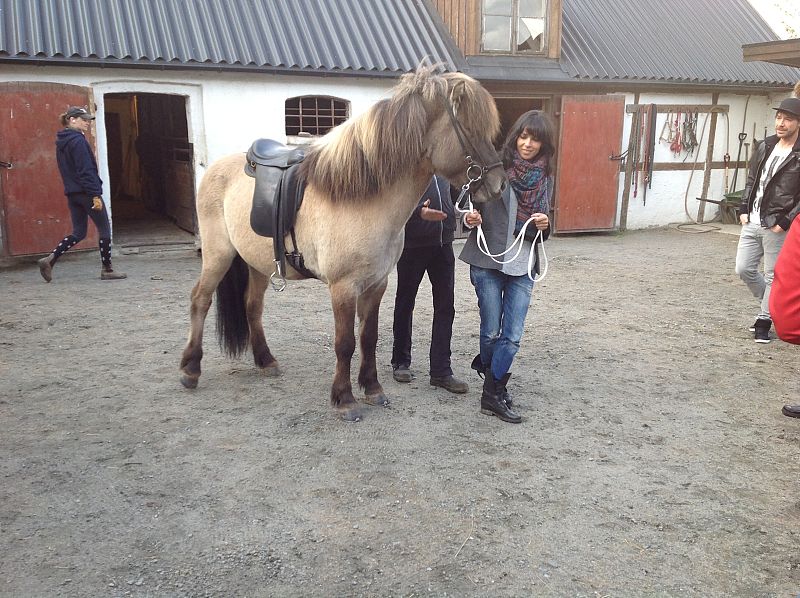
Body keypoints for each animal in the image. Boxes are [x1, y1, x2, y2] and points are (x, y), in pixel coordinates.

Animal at [179, 65, 506, 421]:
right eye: (469, 127)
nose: (499, 184)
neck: (361, 196)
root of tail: (216, 168)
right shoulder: (343, 287)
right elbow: (345, 342)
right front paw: (344, 399)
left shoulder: (376, 283)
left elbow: (368, 337)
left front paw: (373, 389)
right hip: (218, 255)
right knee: (199, 300)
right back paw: (190, 369)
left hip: (257, 263)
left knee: (252, 306)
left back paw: (266, 361)